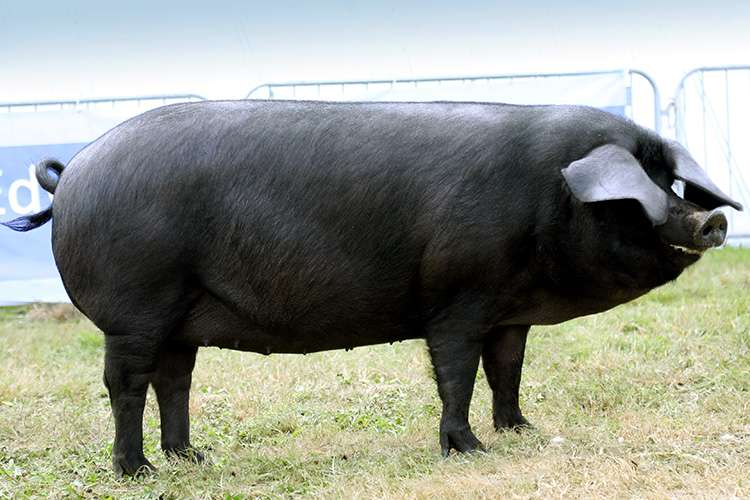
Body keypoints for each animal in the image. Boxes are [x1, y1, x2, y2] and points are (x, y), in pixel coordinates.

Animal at [2, 100, 743, 475]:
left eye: (670, 180)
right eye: (636, 196)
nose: (710, 219)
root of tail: (73, 175)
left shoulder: (508, 309)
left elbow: (507, 369)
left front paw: (524, 431)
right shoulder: (459, 296)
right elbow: (457, 372)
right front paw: (469, 450)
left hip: (179, 316)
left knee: (174, 381)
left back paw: (193, 457)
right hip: (136, 306)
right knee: (126, 385)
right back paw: (139, 472)